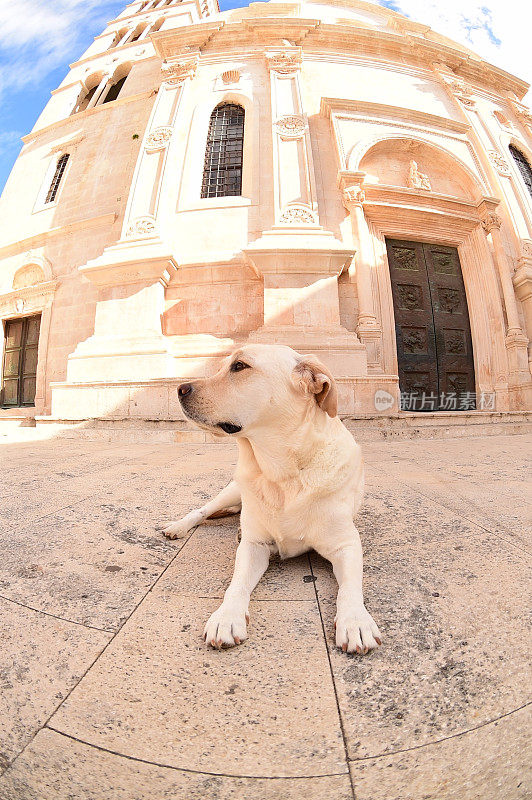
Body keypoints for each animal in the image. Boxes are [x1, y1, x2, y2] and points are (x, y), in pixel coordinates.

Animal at [163, 344, 382, 656]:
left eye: (239, 366)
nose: (180, 388)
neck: (283, 474)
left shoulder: (346, 544)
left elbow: (350, 588)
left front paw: (355, 622)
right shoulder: (253, 546)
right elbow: (236, 584)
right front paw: (226, 617)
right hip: (233, 488)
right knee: (202, 510)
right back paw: (179, 527)